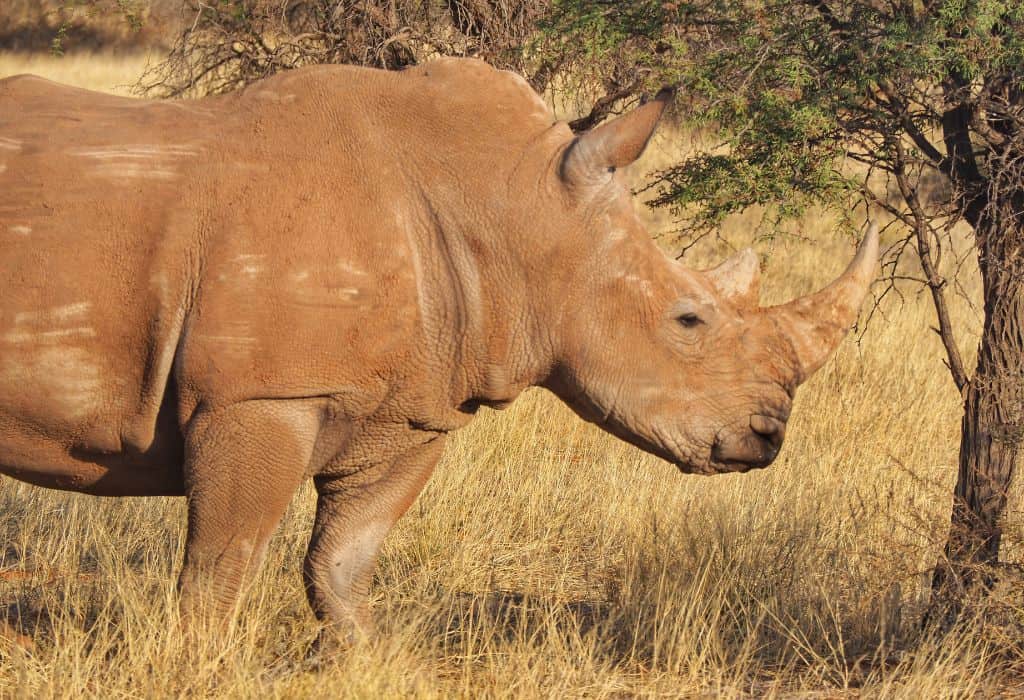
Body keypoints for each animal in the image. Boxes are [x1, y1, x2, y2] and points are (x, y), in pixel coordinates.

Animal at [0, 57, 880, 646]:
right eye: (688, 321)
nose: (768, 439)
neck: (515, 206)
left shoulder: (417, 406)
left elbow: (341, 560)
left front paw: (356, 655)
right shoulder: (258, 394)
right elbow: (222, 566)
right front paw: (199, 663)